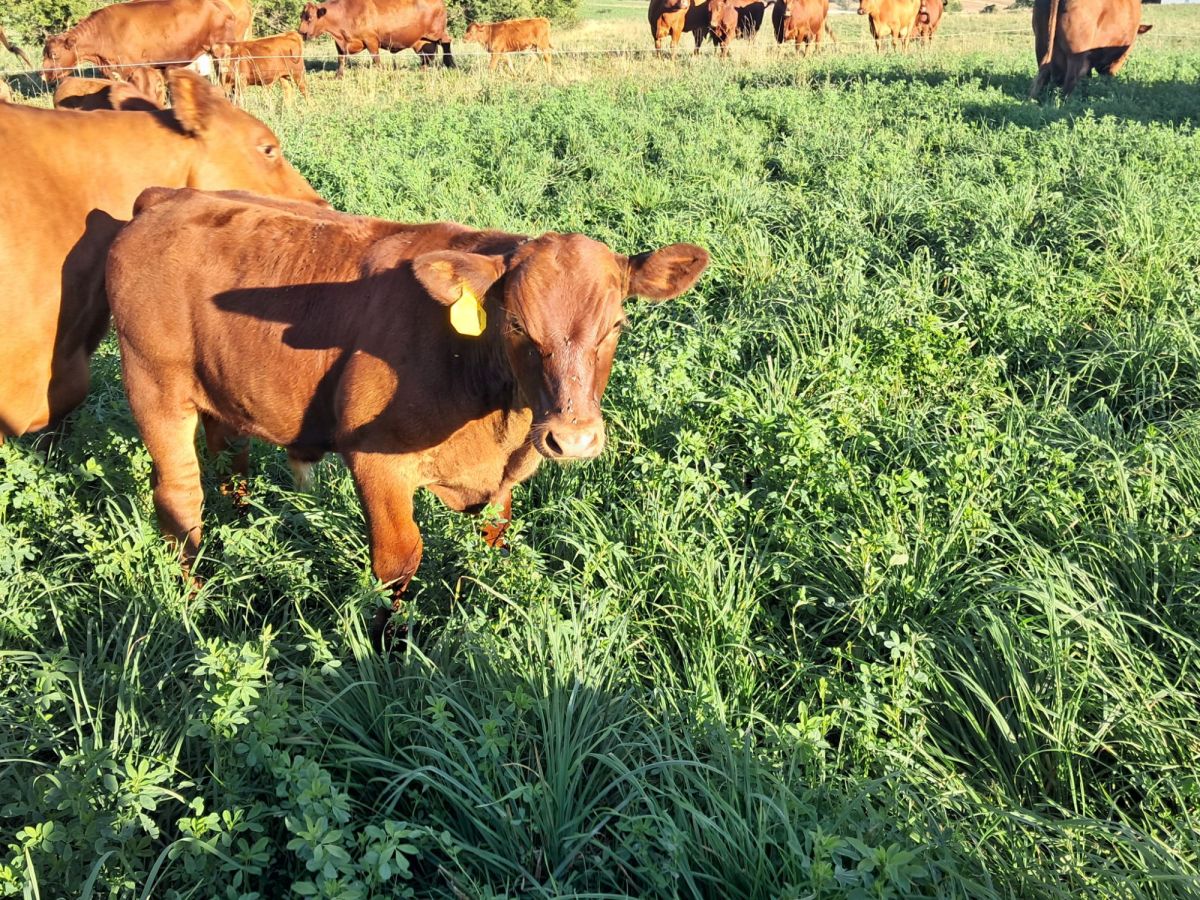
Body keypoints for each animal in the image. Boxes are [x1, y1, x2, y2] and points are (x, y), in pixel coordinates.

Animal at [105, 188, 709, 644]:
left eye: (616, 325)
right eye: (515, 324)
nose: (572, 438)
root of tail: (167, 198)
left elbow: (493, 535)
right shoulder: (378, 464)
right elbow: (398, 562)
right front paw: (389, 646)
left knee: (230, 460)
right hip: (154, 387)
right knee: (180, 500)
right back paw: (190, 602)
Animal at [297, 0, 454, 77]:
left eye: (310, 18)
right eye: (301, 16)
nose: (301, 32)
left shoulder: (371, 40)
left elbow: (376, 60)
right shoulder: (340, 43)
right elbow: (341, 59)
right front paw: (338, 76)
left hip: (437, 32)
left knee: (446, 42)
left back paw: (451, 64)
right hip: (422, 40)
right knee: (427, 55)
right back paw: (423, 69)